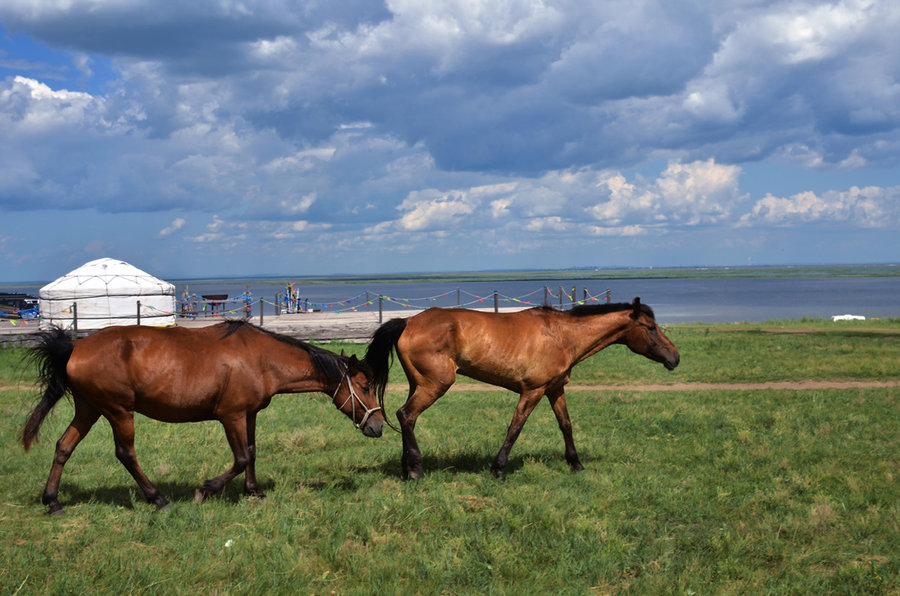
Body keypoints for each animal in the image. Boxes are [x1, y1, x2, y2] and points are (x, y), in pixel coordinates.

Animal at [362, 298, 680, 480]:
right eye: (651, 327)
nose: (675, 357)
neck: (562, 335)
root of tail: (408, 321)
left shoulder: (554, 389)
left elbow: (566, 425)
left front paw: (576, 465)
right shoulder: (533, 390)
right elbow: (515, 427)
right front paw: (498, 469)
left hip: (419, 383)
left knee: (407, 418)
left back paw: (407, 467)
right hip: (434, 385)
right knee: (407, 415)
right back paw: (415, 470)